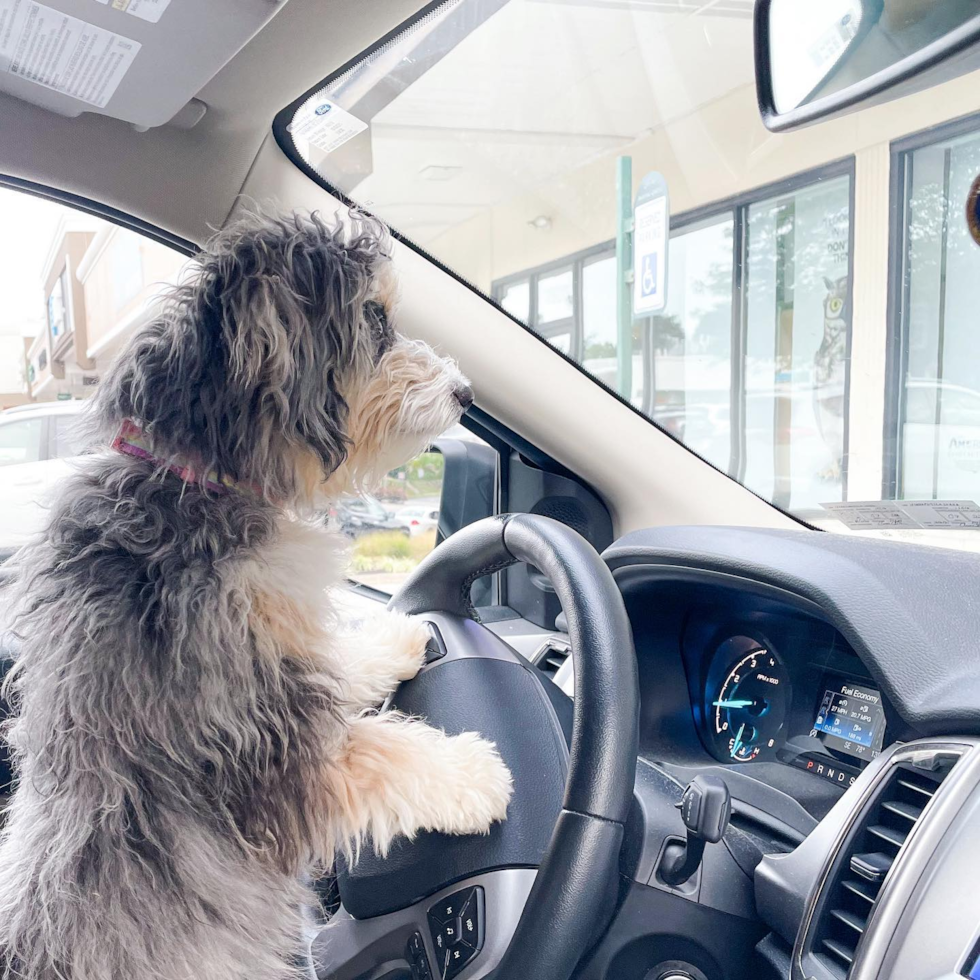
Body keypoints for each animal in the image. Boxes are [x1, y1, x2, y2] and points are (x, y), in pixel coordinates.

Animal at [0, 209, 516, 980]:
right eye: (375, 318)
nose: (467, 393)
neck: (191, 483)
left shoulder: (280, 655)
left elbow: (332, 665)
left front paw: (391, 637)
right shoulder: (259, 742)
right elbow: (374, 750)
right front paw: (472, 773)